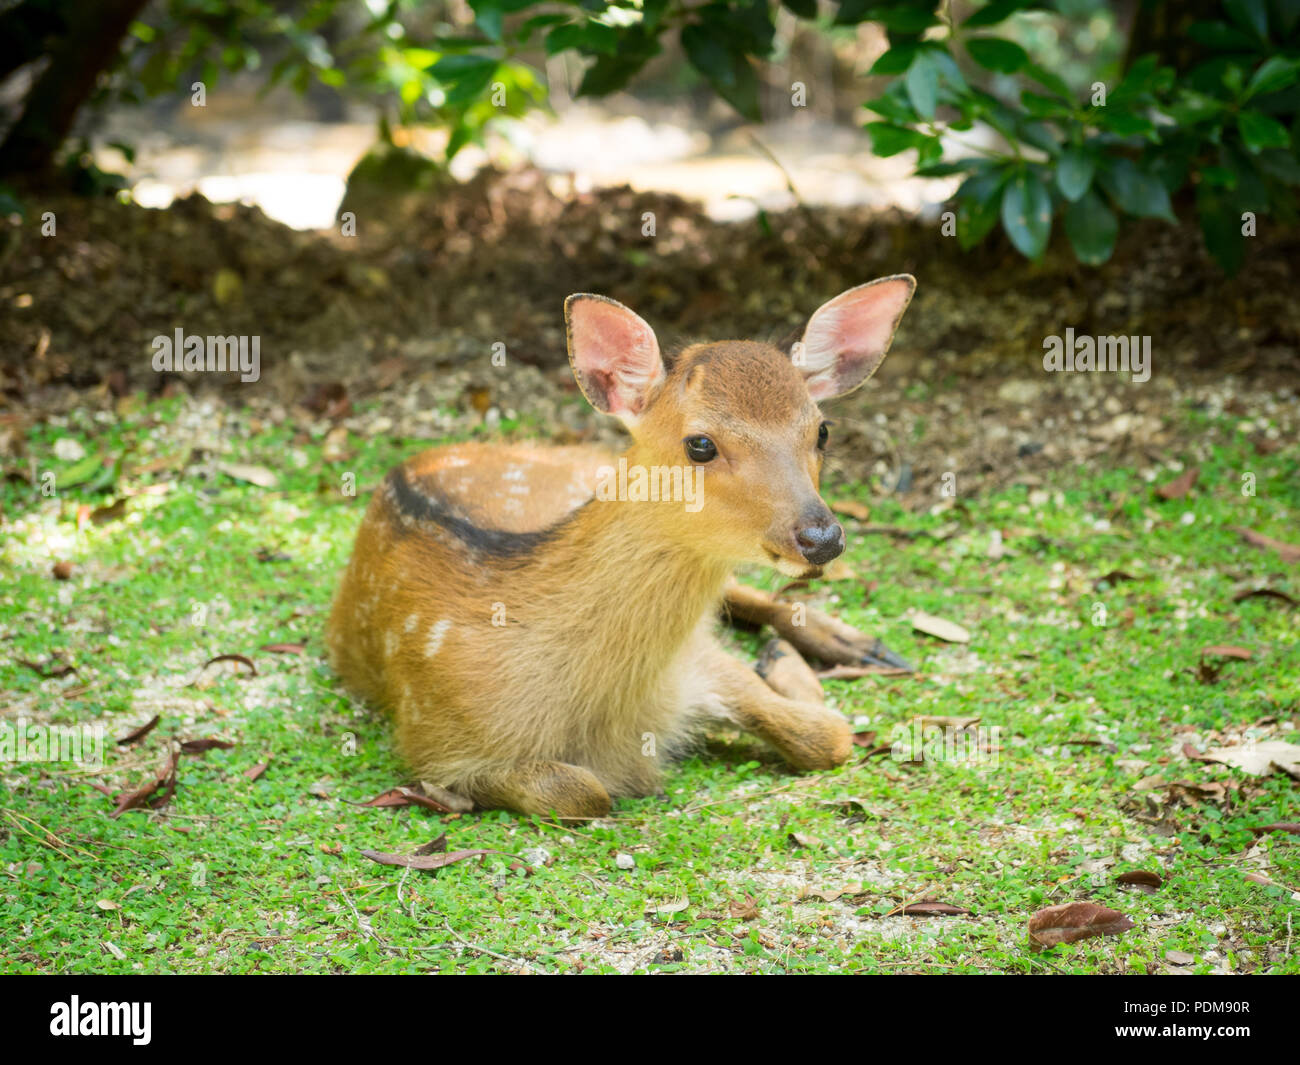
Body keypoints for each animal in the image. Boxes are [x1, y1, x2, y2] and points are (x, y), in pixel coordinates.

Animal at [326, 275, 916, 819]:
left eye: (821, 431)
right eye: (700, 444)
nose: (822, 537)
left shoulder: (698, 663)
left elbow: (828, 737)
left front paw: (789, 671)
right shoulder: (435, 743)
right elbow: (585, 791)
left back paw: (859, 647)